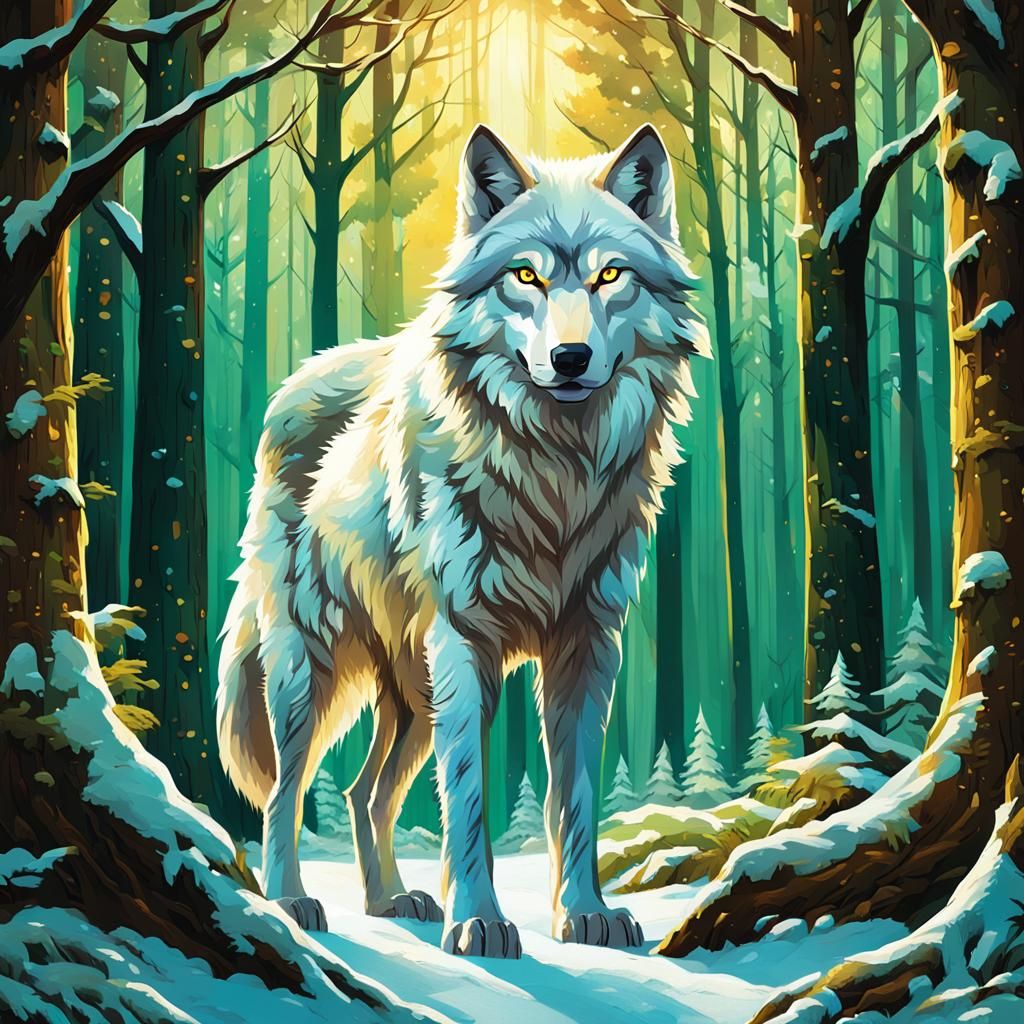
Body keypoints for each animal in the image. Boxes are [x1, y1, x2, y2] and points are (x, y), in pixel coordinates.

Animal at [216, 123, 708, 958]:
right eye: (526, 276)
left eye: (610, 274)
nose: (570, 359)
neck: (555, 476)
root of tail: (296, 383)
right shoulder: (465, 641)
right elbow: (471, 797)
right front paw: (479, 921)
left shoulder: (588, 644)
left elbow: (576, 797)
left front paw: (586, 915)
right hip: (310, 666)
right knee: (285, 790)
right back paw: (289, 901)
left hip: (412, 694)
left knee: (363, 791)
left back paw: (389, 899)